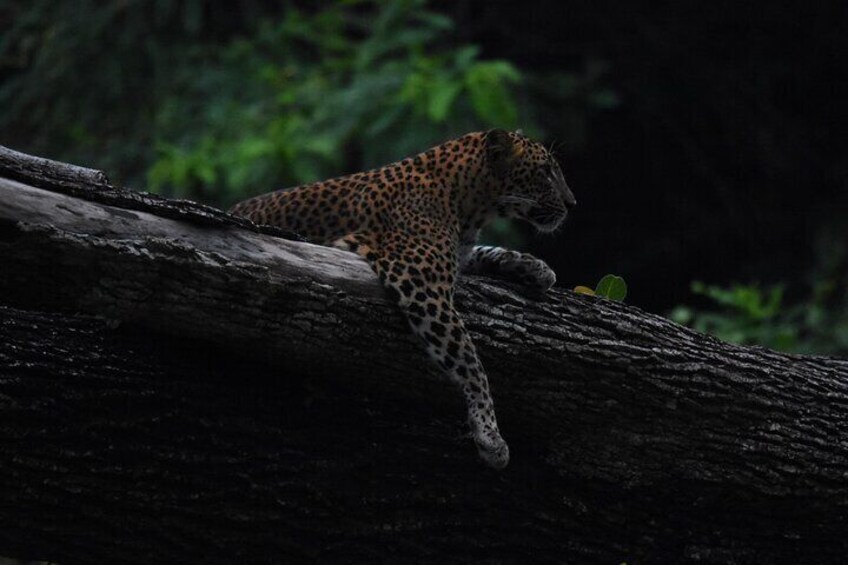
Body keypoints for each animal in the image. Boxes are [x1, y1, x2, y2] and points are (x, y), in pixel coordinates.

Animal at [229, 129, 576, 469]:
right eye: (546, 172)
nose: (572, 203)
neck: (469, 204)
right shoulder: (422, 282)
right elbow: (469, 360)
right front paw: (489, 432)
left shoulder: (456, 256)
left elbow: (486, 251)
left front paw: (537, 268)